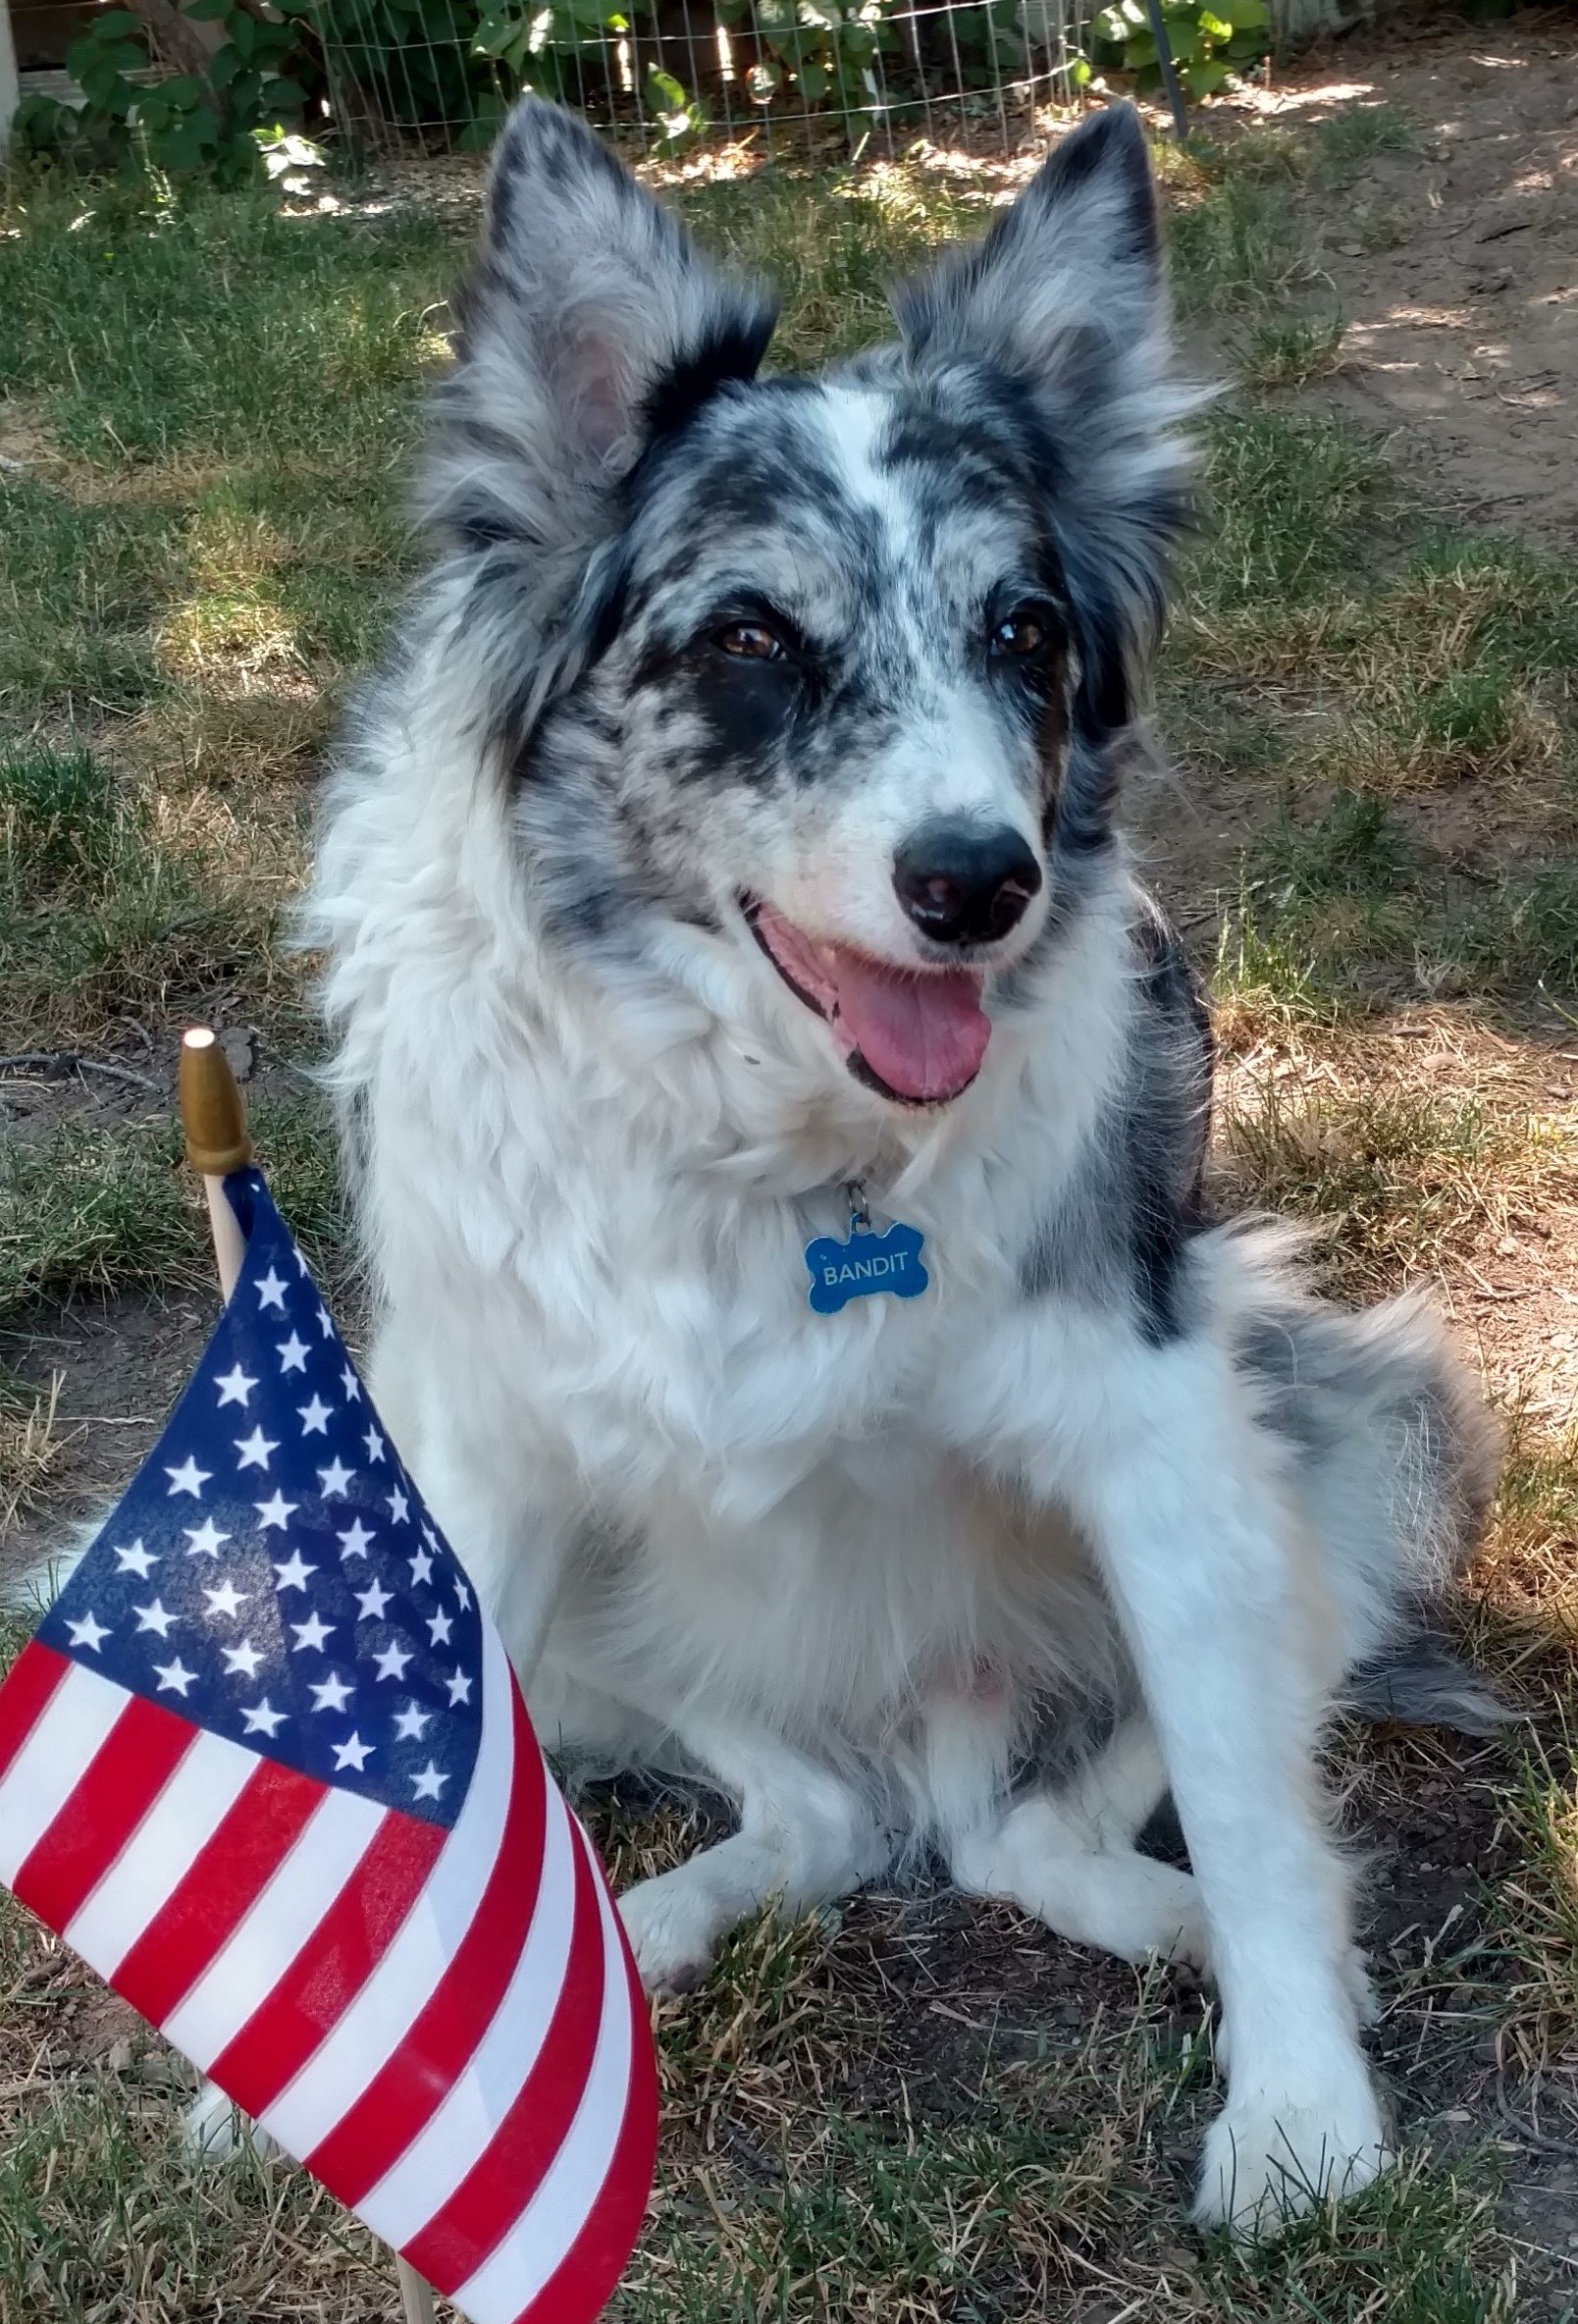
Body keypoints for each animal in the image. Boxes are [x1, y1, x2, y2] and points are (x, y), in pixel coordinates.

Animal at [304, 104, 1497, 2231]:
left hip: (1351, 1443)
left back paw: (1163, 1916)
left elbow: (1254, 1814)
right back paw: (662, 1920)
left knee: (1041, 1818)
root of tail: (921, 1725)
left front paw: (1300, 2114)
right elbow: (436, 1796)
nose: (976, 883)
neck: (773, 1136)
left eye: (1024, 632)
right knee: (818, 1807)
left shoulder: (1164, 1438)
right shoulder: (482, 1449)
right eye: (751, 639)